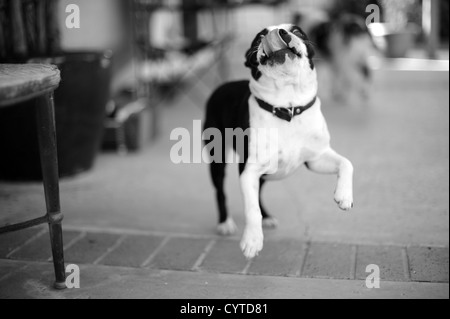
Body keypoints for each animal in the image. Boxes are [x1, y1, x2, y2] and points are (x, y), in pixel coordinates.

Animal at [205, 25, 356, 260]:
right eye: (259, 36)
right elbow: (252, 210)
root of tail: (221, 87)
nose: (280, 32)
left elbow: (347, 163)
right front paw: (252, 240)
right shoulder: (249, 171)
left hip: (266, 174)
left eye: (298, 31)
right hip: (218, 158)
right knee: (220, 191)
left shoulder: (316, 158)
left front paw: (344, 196)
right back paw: (225, 223)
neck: (288, 107)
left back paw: (267, 217)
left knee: (258, 193)